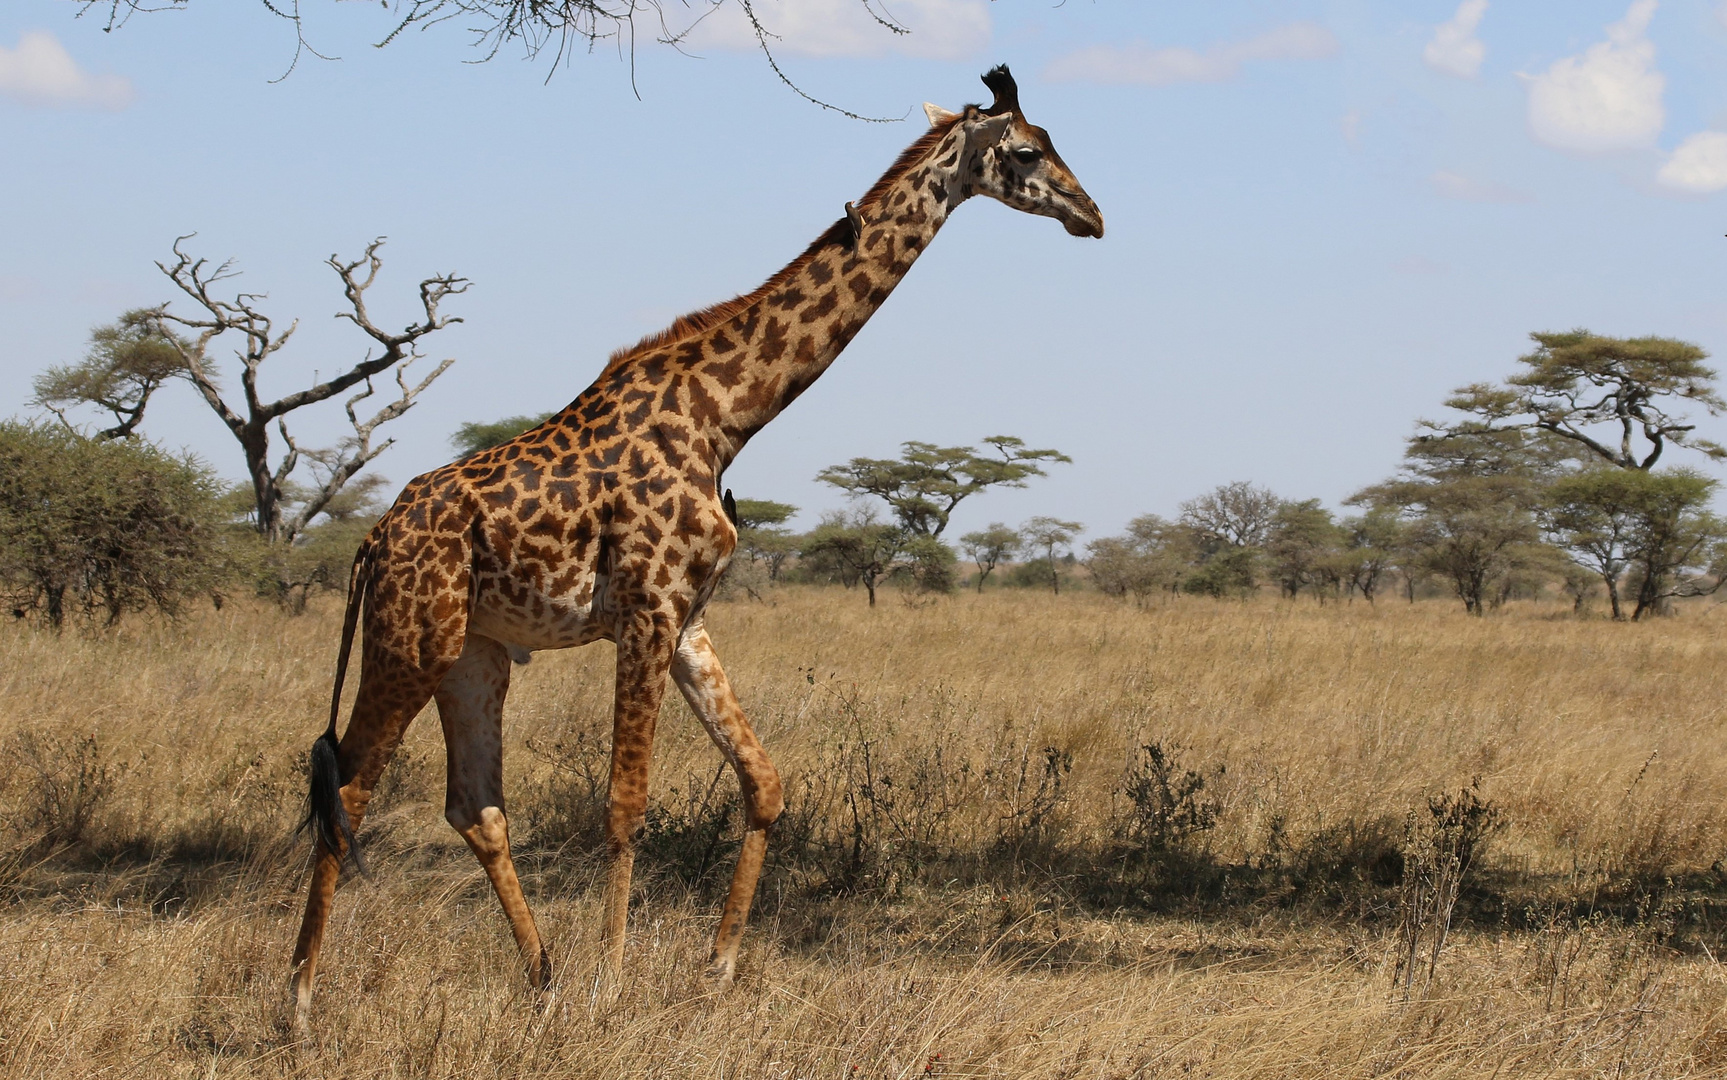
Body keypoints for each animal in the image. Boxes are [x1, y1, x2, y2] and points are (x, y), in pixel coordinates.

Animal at [288, 63, 1098, 1029]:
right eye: (1028, 151)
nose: (1092, 215)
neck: (727, 414)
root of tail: (372, 539)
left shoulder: (689, 618)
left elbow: (764, 782)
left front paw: (716, 964)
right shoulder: (645, 608)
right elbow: (624, 804)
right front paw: (611, 983)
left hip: (472, 652)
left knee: (474, 806)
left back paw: (541, 977)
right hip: (411, 640)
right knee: (350, 789)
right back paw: (300, 1003)